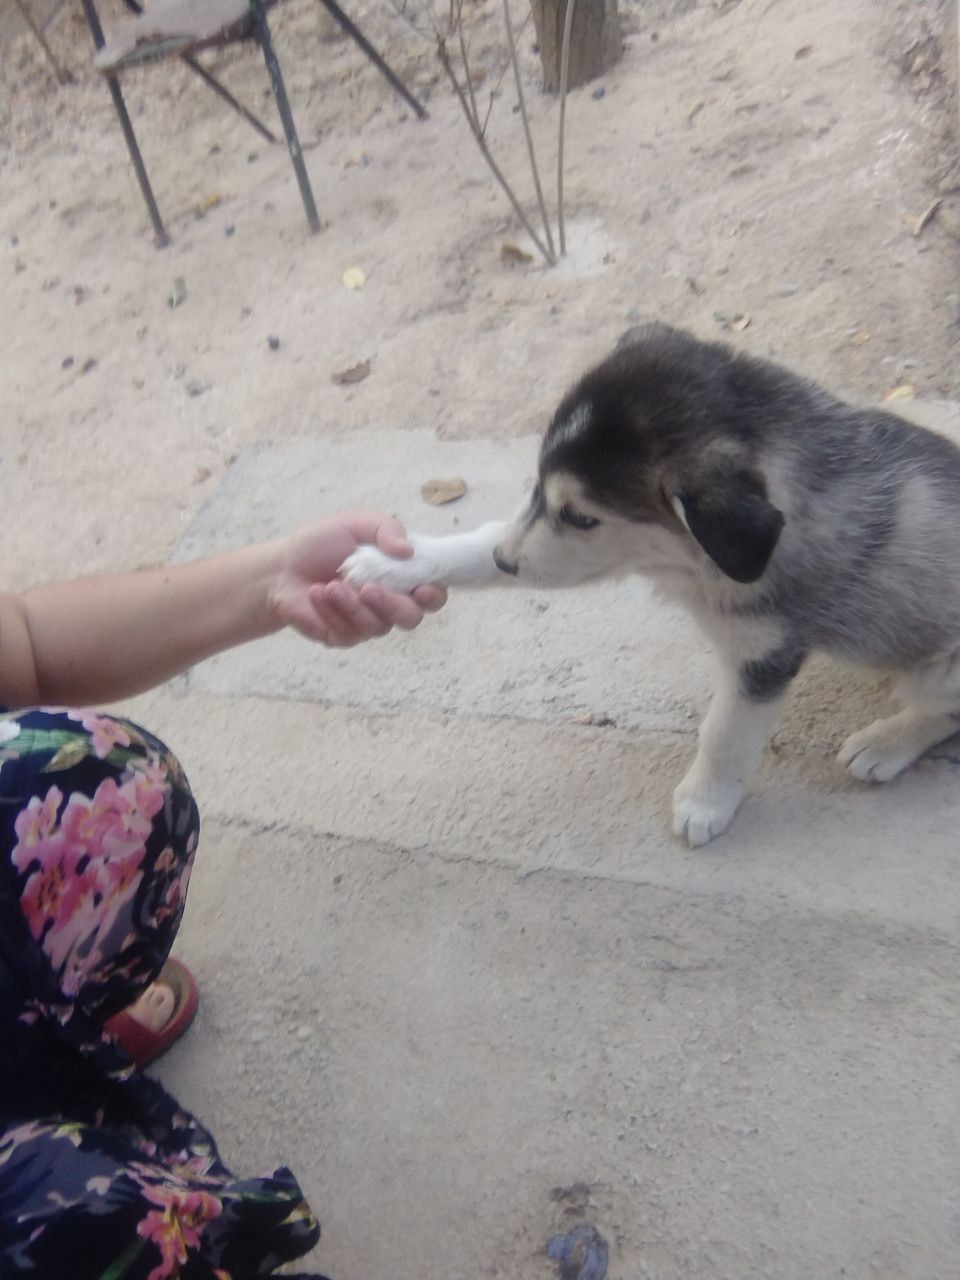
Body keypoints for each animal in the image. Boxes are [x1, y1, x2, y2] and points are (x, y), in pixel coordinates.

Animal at [340, 320, 960, 844]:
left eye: (580, 515)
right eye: (537, 486)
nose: (507, 561)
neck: (698, 564)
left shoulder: (761, 658)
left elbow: (725, 733)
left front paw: (705, 803)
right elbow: (479, 541)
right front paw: (392, 564)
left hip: (941, 667)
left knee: (943, 712)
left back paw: (885, 743)